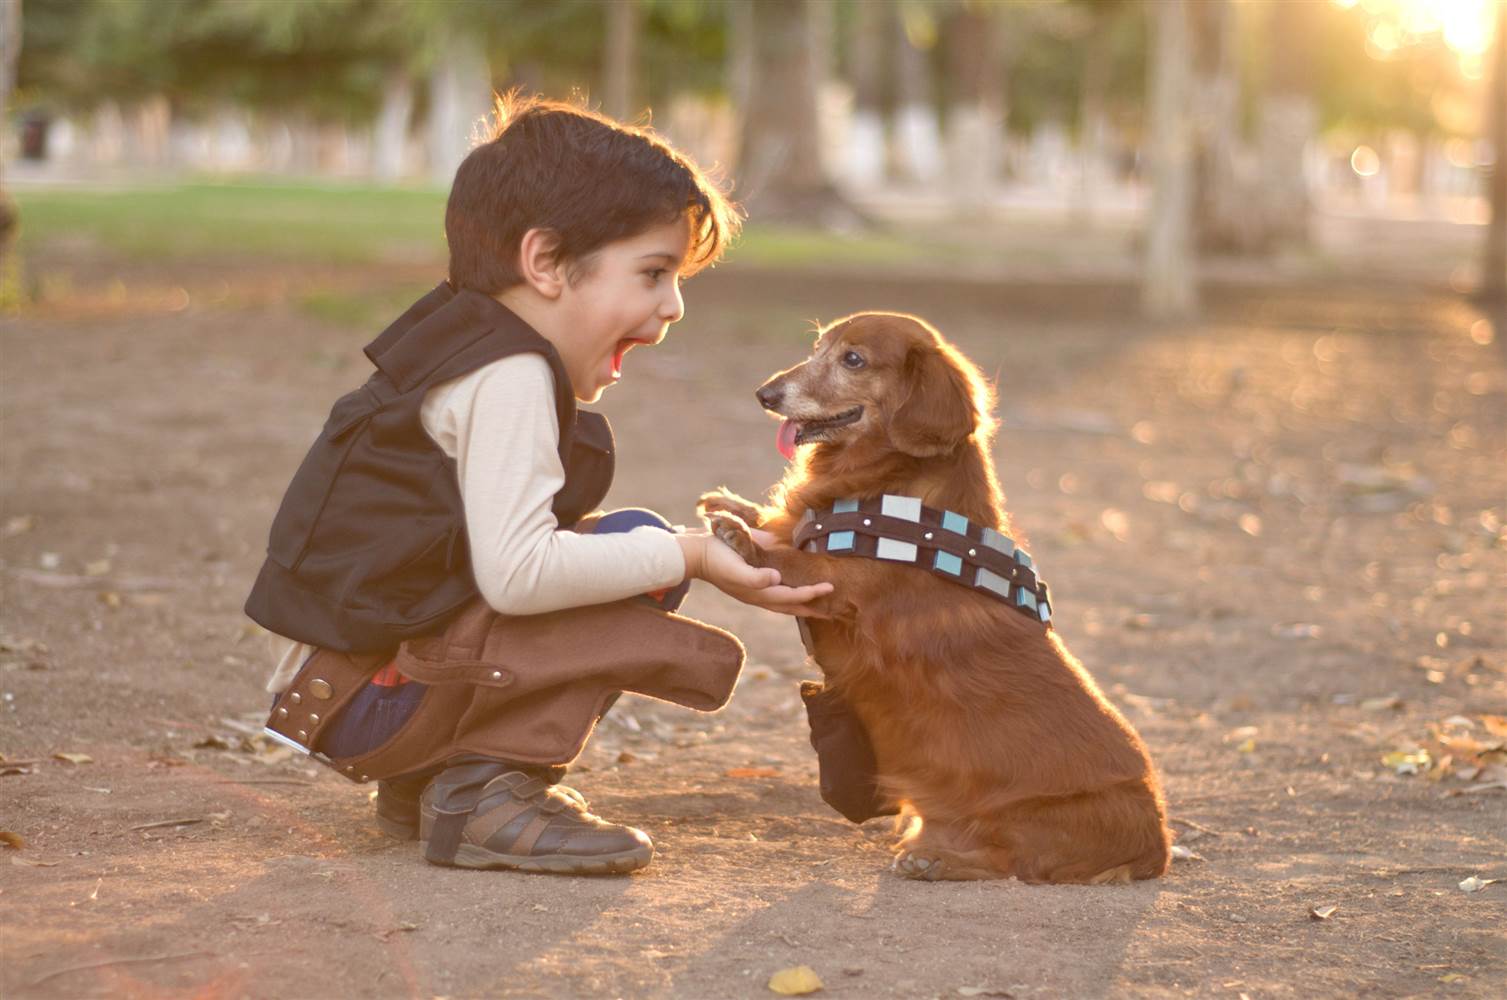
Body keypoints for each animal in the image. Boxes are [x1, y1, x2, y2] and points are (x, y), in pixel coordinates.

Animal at [699, 313, 1169, 885]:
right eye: (817, 347)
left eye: (853, 359)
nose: (765, 394)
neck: (891, 487)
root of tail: (1158, 847)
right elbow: (783, 525)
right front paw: (733, 504)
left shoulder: (838, 585)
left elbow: (787, 559)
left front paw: (737, 535)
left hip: (1027, 816)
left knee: (1008, 862)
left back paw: (935, 860)